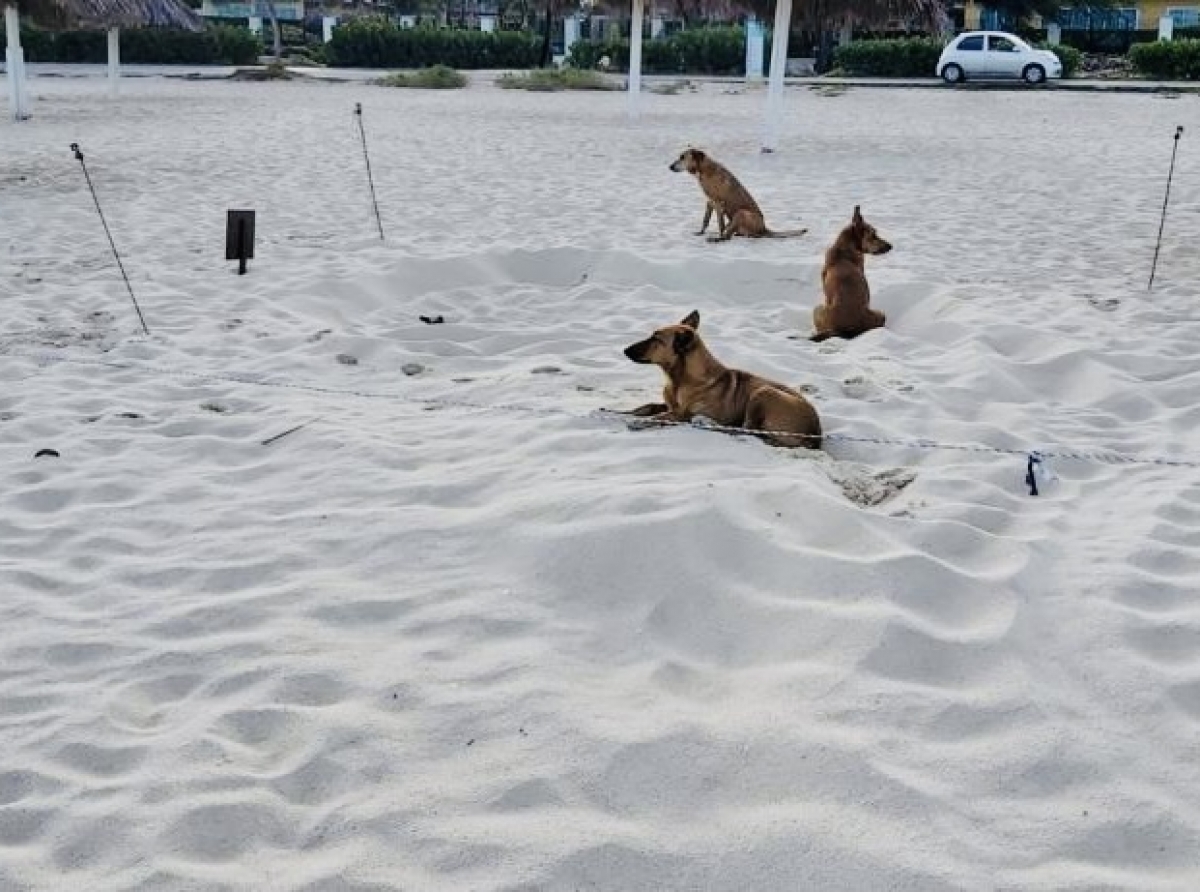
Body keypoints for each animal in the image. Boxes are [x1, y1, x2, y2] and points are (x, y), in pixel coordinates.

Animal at [619, 312, 825, 449]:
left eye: (656, 339)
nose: (624, 350)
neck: (679, 379)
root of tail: (815, 435)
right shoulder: (671, 405)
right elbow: (649, 407)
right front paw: (625, 412)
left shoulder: (684, 414)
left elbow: (664, 416)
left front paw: (641, 421)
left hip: (764, 392)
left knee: (745, 429)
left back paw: (708, 423)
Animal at [672, 148, 811, 242]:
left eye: (682, 157)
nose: (670, 167)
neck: (704, 169)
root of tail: (764, 228)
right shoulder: (709, 202)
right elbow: (705, 220)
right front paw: (701, 232)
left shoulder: (718, 204)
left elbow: (720, 225)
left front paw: (719, 235)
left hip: (741, 213)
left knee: (730, 235)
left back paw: (719, 239)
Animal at [811, 205, 897, 340]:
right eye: (873, 235)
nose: (890, 246)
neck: (844, 249)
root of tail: (846, 330)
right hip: (881, 314)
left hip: (817, 308)